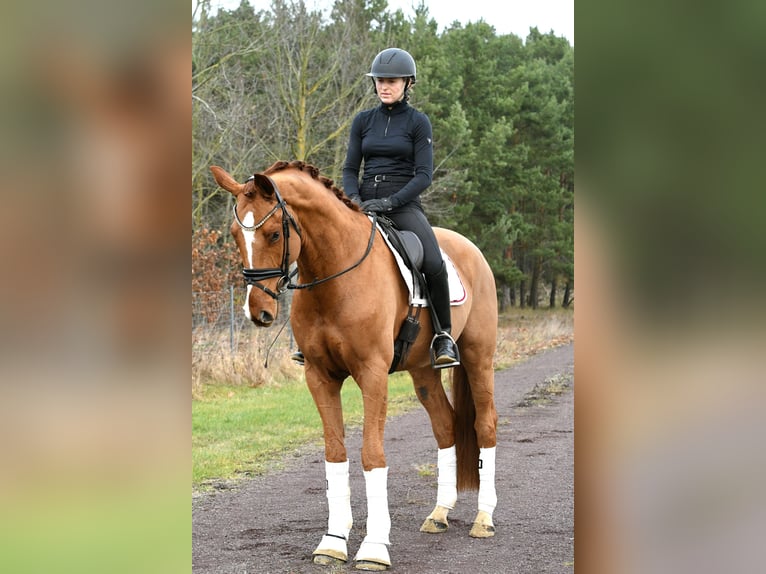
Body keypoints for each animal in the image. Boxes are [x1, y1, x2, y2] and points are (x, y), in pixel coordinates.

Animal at [210, 160, 498, 571]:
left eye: (272, 234)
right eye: (236, 234)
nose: (258, 312)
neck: (335, 274)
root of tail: (470, 247)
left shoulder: (372, 375)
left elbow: (372, 456)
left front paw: (374, 547)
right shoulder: (320, 376)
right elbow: (335, 455)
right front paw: (332, 542)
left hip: (478, 356)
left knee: (485, 424)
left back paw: (484, 518)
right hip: (423, 373)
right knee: (446, 427)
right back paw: (439, 513)